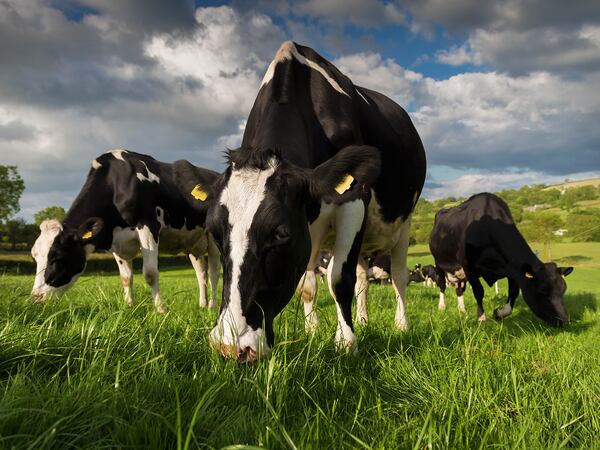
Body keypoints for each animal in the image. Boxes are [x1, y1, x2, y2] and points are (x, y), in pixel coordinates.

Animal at [29, 149, 220, 312]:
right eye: (34, 257)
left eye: (58, 257)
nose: (36, 298)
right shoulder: (116, 240)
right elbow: (126, 277)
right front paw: (129, 306)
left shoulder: (148, 226)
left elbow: (150, 273)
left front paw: (161, 309)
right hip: (192, 243)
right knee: (201, 273)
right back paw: (202, 304)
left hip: (213, 238)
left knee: (214, 272)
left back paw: (212, 306)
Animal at [193, 40, 426, 360]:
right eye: (215, 233)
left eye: (280, 233)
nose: (231, 345)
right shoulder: (308, 228)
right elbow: (307, 285)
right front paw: (313, 331)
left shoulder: (354, 200)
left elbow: (339, 278)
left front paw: (346, 343)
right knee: (362, 278)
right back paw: (363, 319)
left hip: (404, 224)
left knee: (399, 276)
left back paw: (401, 325)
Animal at [428, 192, 576, 326]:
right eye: (542, 291)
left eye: (563, 290)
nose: (564, 320)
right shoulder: (468, 265)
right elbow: (478, 291)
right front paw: (482, 317)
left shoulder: (513, 269)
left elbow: (514, 292)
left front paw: (500, 312)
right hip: (439, 263)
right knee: (442, 284)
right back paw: (442, 306)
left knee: (459, 289)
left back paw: (462, 310)